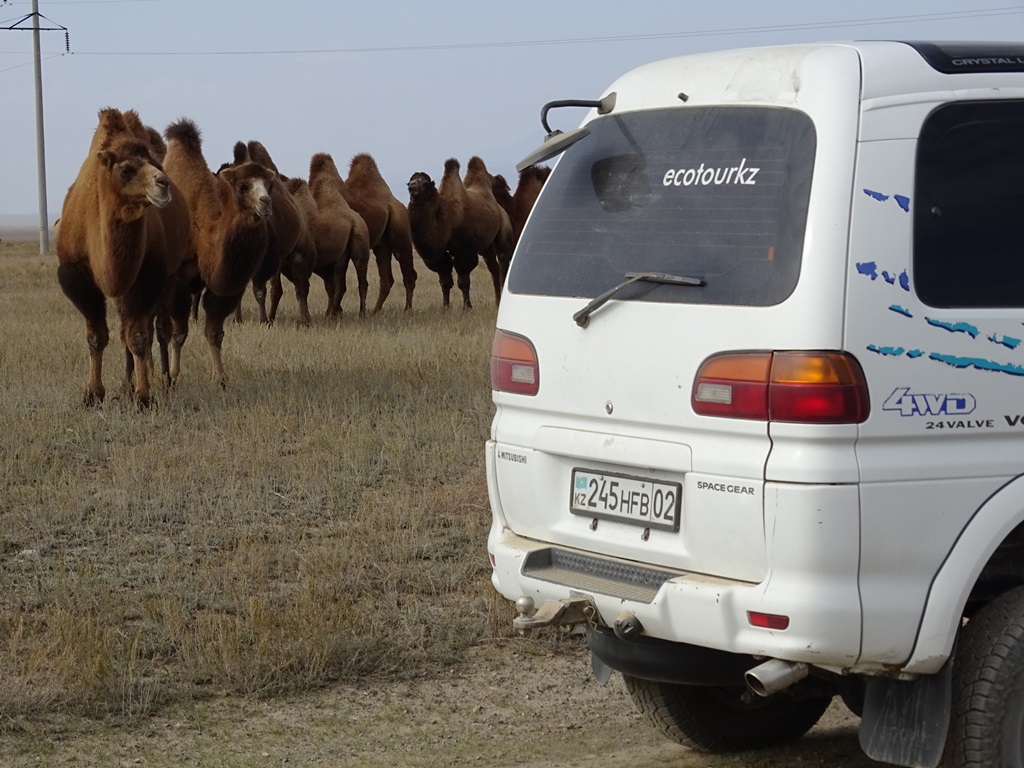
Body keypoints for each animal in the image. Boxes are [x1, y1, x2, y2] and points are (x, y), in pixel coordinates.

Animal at [56, 109, 190, 409]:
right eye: (125, 169)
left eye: (156, 164)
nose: (163, 184)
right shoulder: (75, 274)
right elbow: (97, 336)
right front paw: (93, 394)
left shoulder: (148, 274)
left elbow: (138, 337)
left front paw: (143, 397)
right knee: (125, 331)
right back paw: (127, 384)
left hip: (170, 277)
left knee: (159, 328)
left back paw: (164, 378)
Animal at [160, 117, 274, 387]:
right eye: (242, 186)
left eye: (270, 185)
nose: (265, 202)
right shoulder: (177, 280)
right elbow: (179, 333)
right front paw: (176, 373)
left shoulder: (224, 287)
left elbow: (215, 333)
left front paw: (221, 377)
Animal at [307, 153, 372, 319]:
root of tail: (356, 222)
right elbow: (331, 286)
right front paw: (335, 312)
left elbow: (330, 286)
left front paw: (333, 312)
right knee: (341, 285)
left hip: (358, 247)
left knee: (358, 281)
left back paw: (360, 313)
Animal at [344, 153, 415, 313]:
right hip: (382, 244)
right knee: (387, 278)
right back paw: (375, 311)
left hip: (399, 226)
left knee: (408, 272)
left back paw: (407, 310)